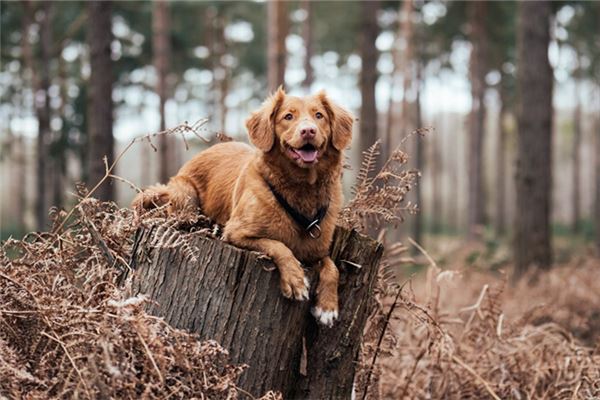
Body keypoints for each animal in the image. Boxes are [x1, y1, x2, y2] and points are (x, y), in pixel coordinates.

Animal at [132, 87, 352, 324]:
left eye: (319, 115)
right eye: (288, 117)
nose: (308, 131)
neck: (301, 189)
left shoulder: (316, 251)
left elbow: (332, 267)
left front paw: (327, 306)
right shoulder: (236, 233)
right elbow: (279, 246)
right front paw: (295, 279)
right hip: (185, 195)